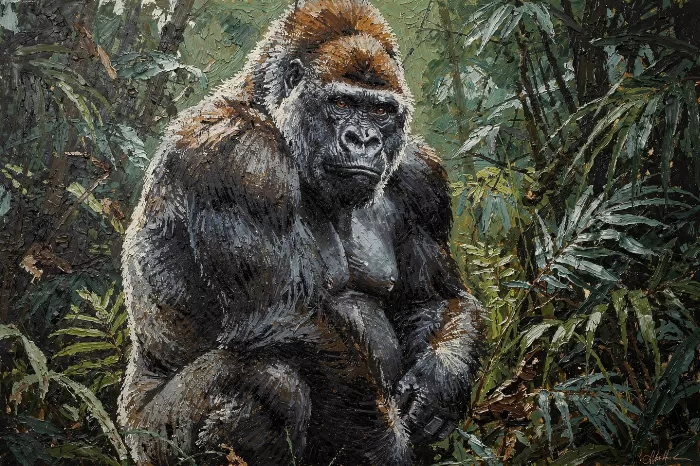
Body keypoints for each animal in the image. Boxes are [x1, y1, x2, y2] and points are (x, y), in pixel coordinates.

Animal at [118, 1, 483, 465]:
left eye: (381, 111)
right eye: (341, 102)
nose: (363, 139)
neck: (269, 110)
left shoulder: (421, 179)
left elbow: (435, 297)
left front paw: (439, 383)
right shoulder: (240, 159)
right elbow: (285, 313)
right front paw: (389, 450)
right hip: (149, 439)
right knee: (274, 382)